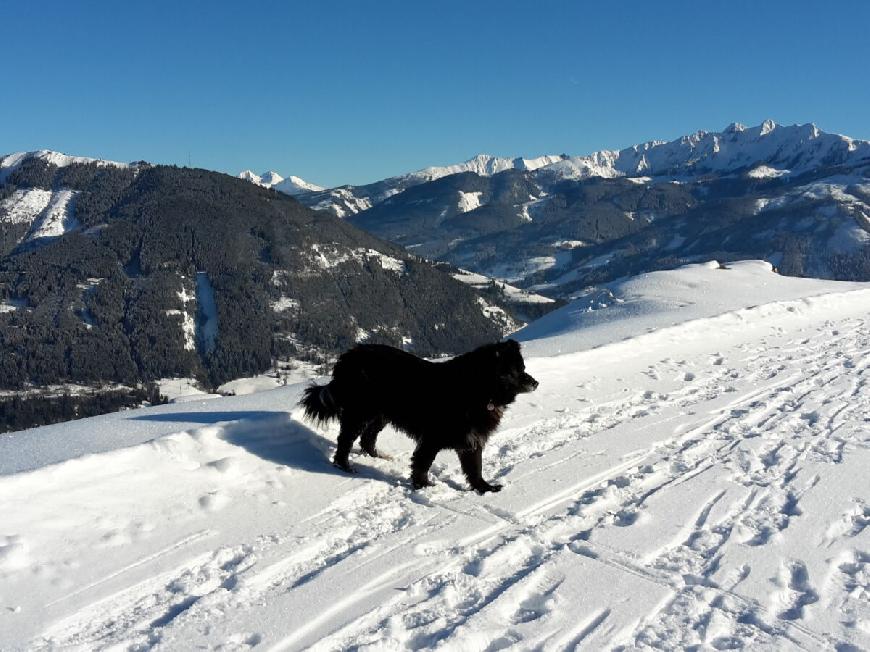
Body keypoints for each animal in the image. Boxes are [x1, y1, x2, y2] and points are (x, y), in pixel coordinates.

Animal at [304, 342, 540, 494]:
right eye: (515, 370)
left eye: (523, 367)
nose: (535, 383)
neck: (479, 390)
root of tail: (349, 355)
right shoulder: (432, 438)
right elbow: (422, 463)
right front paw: (423, 487)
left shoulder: (471, 440)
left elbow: (475, 468)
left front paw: (485, 488)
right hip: (361, 412)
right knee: (345, 440)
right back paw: (345, 466)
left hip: (380, 415)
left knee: (367, 438)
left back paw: (378, 457)